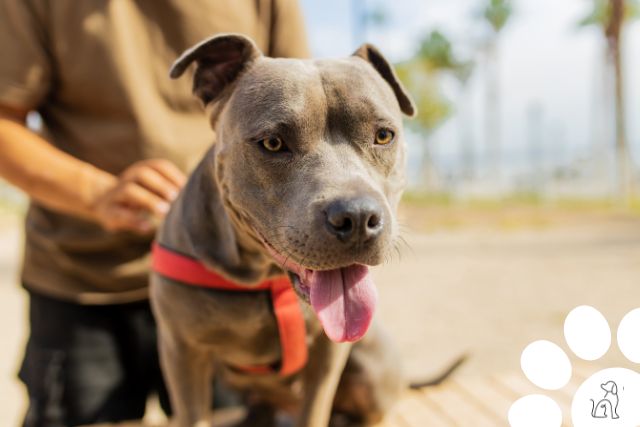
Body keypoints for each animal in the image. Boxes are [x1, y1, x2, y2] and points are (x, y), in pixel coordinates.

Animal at [150, 34, 418, 427]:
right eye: (273, 143)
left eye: (383, 135)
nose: (356, 218)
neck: (265, 277)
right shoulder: (182, 353)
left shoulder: (327, 354)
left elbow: (314, 410)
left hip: (372, 365)